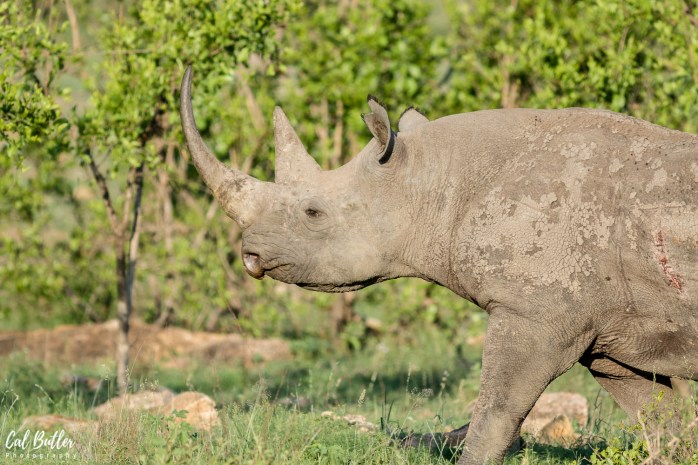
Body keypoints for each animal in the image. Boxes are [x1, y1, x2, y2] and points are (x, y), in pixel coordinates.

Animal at [180, 66, 698, 464]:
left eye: (312, 213)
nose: (249, 254)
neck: (432, 179)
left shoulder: (534, 313)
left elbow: (496, 413)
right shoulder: (616, 333)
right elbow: (662, 423)